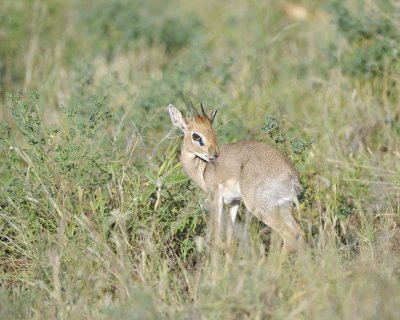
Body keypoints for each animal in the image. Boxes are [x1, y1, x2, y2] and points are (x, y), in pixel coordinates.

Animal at [168, 102, 304, 252]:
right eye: (196, 136)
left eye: (212, 131)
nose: (214, 155)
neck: (203, 169)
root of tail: (291, 175)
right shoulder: (235, 203)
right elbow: (229, 239)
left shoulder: (216, 198)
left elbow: (218, 240)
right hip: (281, 208)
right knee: (300, 233)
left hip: (260, 208)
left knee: (289, 236)